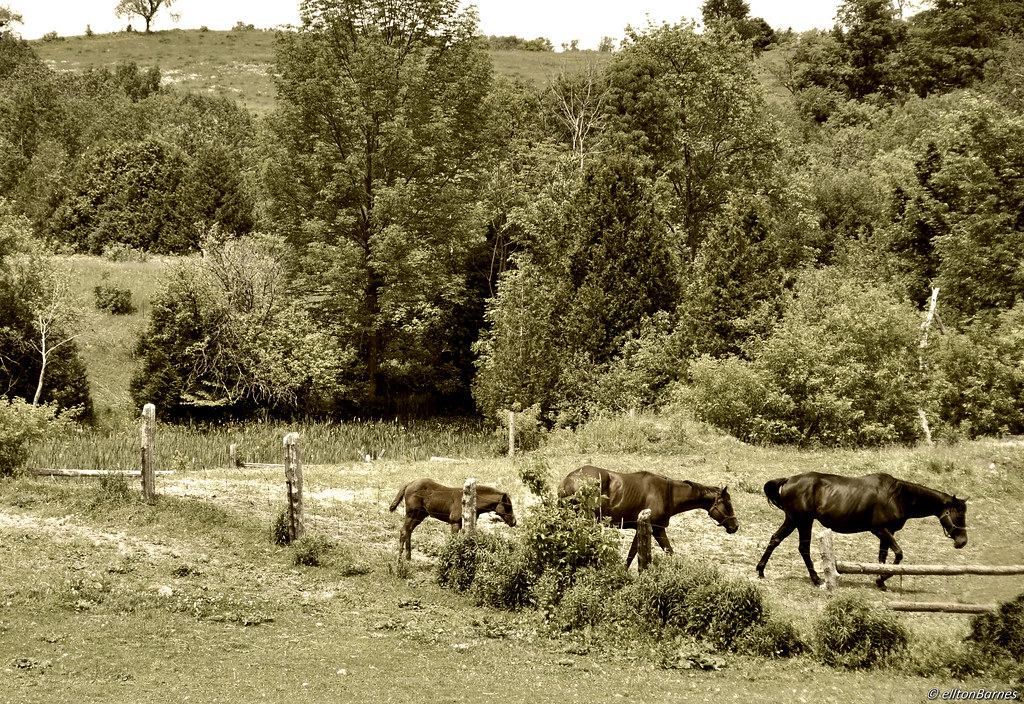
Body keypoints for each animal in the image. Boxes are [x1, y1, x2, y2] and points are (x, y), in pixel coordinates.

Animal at [389, 478, 517, 560]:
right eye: (508, 507)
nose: (514, 522)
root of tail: (409, 483)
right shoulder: (454, 523)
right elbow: (453, 541)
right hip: (411, 513)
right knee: (404, 531)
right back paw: (400, 560)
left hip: (420, 515)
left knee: (409, 531)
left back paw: (408, 558)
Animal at [557, 465, 739, 568]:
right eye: (727, 504)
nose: (735, 526)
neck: (668, 494)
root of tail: (568, 480)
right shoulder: (653, 529)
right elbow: (639, 555)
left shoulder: (653, 530)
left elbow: (638, 554)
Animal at [755, 471, 968, 589]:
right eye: (958, 515)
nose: (962, 541)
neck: (897, 497)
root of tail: (789, 479)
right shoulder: (880, 530)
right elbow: (898, 554)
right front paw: (881, 579)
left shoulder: (888, 533)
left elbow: (883, 558)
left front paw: (881, 581)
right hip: (802, 521)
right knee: (802, 548)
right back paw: (816, 579)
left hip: (794, 521)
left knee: (776, 540)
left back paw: (761, 571)